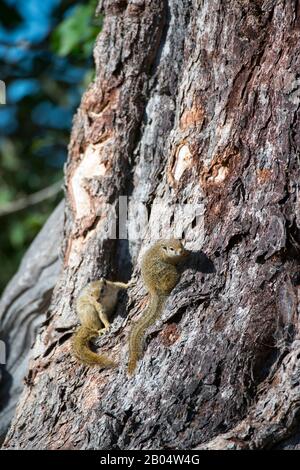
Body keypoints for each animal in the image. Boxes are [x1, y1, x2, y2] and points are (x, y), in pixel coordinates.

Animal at [127, 239, 189, 374]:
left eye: (180, 243)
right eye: (171, 249)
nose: (180, 250)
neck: (162, 249)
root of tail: (153, 289)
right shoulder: (170, 259)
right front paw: (186, 255)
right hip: (167, 272)